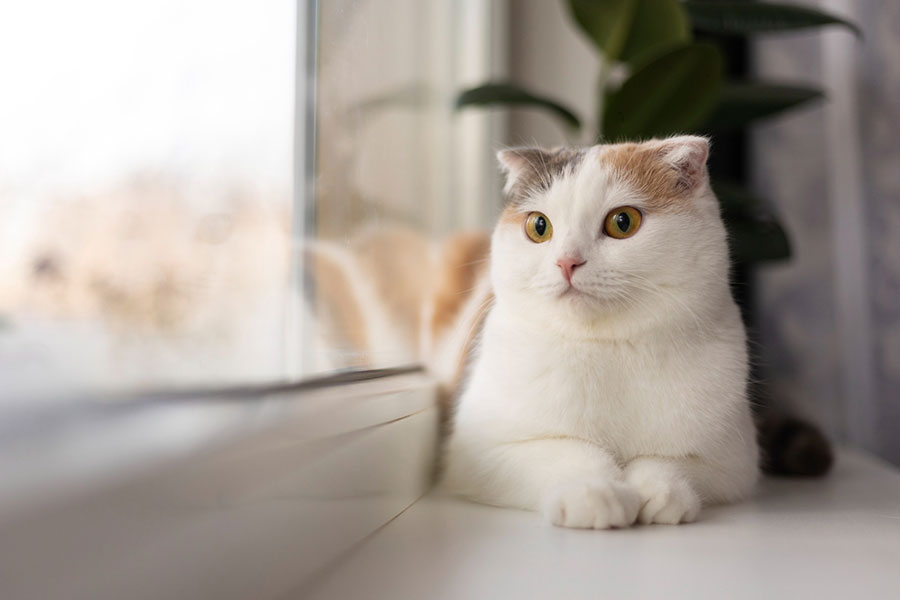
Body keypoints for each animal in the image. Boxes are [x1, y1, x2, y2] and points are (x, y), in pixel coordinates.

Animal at [440, 137, 764, 528]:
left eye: (623, 222)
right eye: (538, 227)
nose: (567, 261)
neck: (607, 347)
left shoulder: (733, 461)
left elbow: (670, 460)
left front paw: (659, 492)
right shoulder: (479, 453)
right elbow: (564, 450)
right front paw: (596, 492)